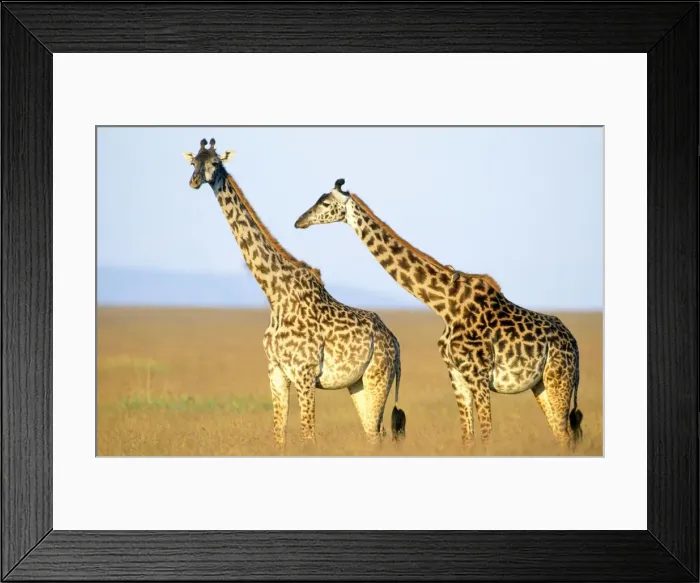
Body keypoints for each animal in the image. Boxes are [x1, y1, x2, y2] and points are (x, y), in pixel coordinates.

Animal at [182, 141, 406, 450]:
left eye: (215, 163)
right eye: (193, 162)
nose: (193, 182)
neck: (275, 293)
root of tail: (395, 342)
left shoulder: (304, 373)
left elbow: (308, 434)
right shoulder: (276, 371)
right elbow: (279, 434)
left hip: (378, 377)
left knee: (377, 432)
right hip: (357, 383)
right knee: (374, 434)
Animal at [294, 178, 583, 450]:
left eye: (325, 203)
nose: (299, 221)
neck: (445, 305)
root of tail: (574, 344)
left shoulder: (478, 375)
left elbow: (487, 436)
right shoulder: (456, 374)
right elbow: (468, 439)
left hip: (559, 377)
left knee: (565, 435)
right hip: (541, 384)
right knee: (560, 434)